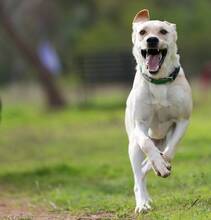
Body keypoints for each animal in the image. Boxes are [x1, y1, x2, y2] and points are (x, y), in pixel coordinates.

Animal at [125, 9, 193, 213]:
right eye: (142, 32)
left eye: (163, 31)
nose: (152, 40)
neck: (159, 81)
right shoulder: (140, 124)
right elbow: (146, 143)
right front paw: (159, 165)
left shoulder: (182, 120)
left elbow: (170, 151)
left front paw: (161, 165)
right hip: (133, 147)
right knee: (138, 175)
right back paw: (142, 203)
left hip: (162, 139)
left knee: (149, 163)